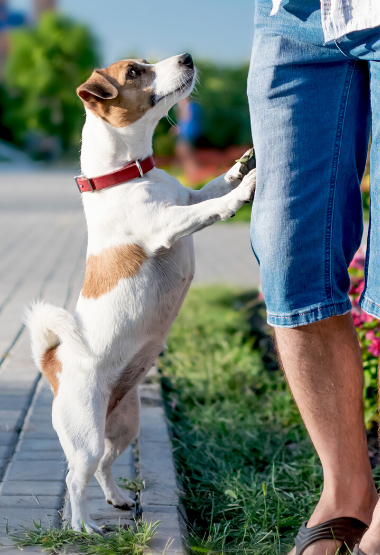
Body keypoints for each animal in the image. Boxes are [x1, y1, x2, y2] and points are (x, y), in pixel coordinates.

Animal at [25, 53, 256, 536]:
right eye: (134, 71)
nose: (187, 56)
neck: (127, 176)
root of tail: (52, 363)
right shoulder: (168, 224)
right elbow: (213, 207)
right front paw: (246, 189)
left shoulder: (187, 196)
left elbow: (212, 188)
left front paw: (243, 165)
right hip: (86, 437)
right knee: (76, 478)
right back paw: (83, 526)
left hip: (123, 427)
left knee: (104, 468)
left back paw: (116, 499)